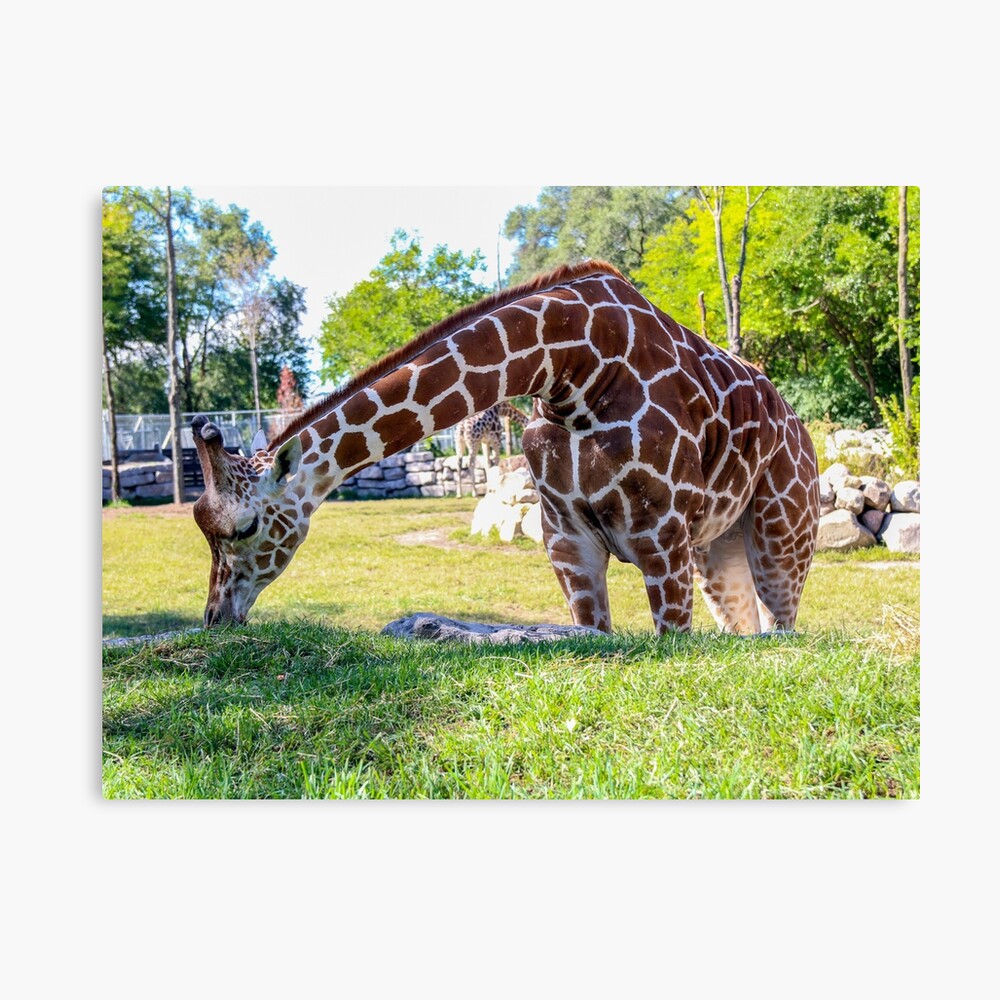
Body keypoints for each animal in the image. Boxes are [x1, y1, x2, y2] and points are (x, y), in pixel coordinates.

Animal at [191, 260, 819, 634]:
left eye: (246, 527)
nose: (216, 616)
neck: (577, 368)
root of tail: (801, 428)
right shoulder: (568, 540)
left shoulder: (660, 537)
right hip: (716, 549)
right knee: (743, 625)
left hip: (782, 537)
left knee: (780, 623)